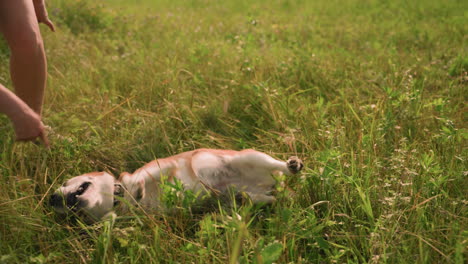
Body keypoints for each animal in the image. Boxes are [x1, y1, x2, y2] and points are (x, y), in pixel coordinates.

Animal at [50, 148, 304, 223]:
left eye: (65, 182)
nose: (52, 198)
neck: (120, 196)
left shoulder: (160, 169)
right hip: (251, 195)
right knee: (264, 198)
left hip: (249, 157)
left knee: (280, 166)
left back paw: (293, 165)